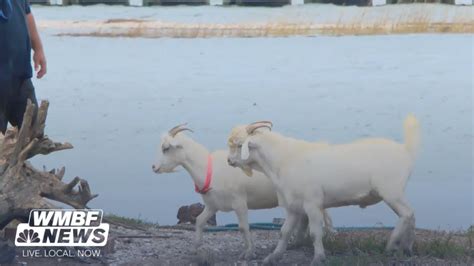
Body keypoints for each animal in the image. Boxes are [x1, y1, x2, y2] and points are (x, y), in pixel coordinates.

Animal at [152, 124, 334, 260]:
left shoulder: (239, 202)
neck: (209, 169)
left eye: (166, 148)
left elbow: (243, 227)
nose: (153, 167)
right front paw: (195, 248)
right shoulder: (213, 205)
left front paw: (248, 253)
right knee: (304, 218)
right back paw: (297, 243)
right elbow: (199, 221)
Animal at [228, 117, 420, 264]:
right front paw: (273, 257)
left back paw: (392, 245)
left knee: (407, 213)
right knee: (411, 214)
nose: (229, 161)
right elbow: (284, 232)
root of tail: (406, 150)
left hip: (391, 191)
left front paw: (318, 258)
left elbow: (315, 233)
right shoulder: (293, 206)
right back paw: (407, 247)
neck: (284, 159)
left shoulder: (312, 203)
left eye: (239, 145)